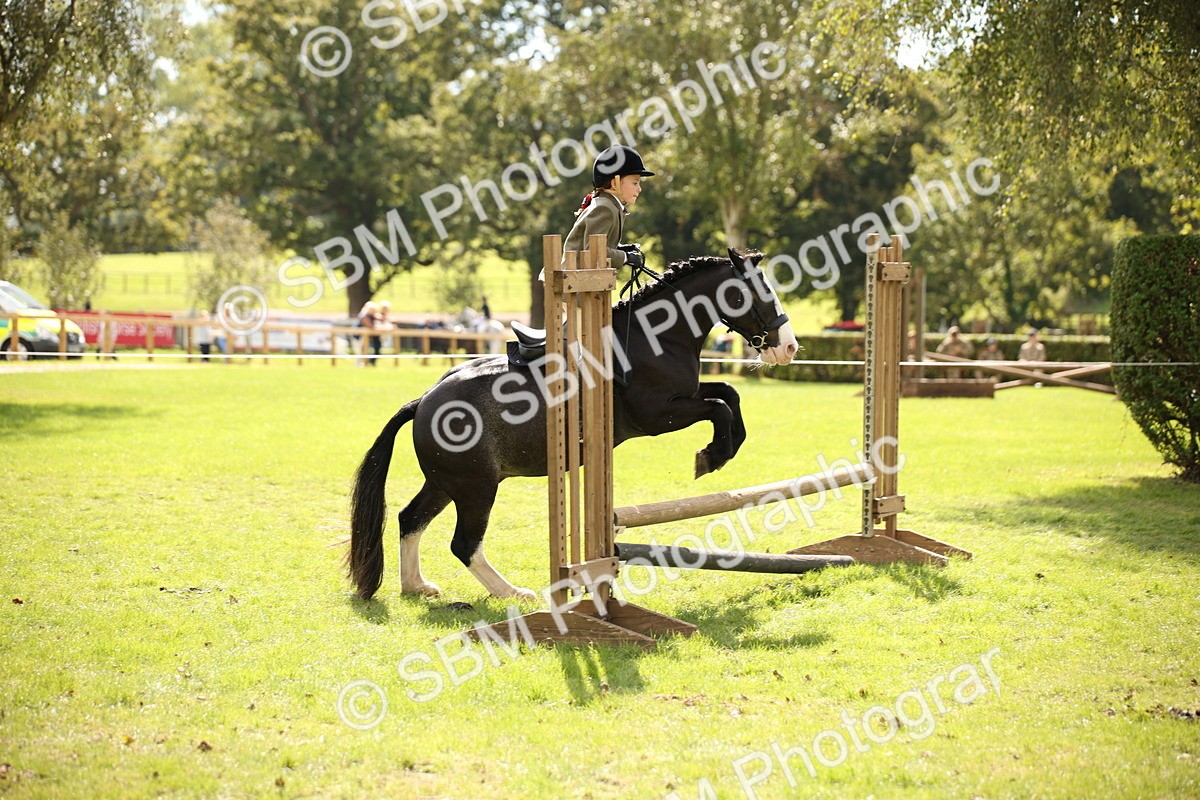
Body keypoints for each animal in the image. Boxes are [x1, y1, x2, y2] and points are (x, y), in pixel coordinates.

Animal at [348, 249, 798, 601]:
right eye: (760, 293)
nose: (790, 347)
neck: (660, 336)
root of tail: (423, 402)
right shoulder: (658, 415)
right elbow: (719, 407)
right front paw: (712, 456)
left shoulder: (685, 395)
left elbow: (728, 395)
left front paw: (723, 449)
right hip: (476, 486)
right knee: (464, 543)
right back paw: (513, 593)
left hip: (445, 483)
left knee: (410, 519)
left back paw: (417, 586)